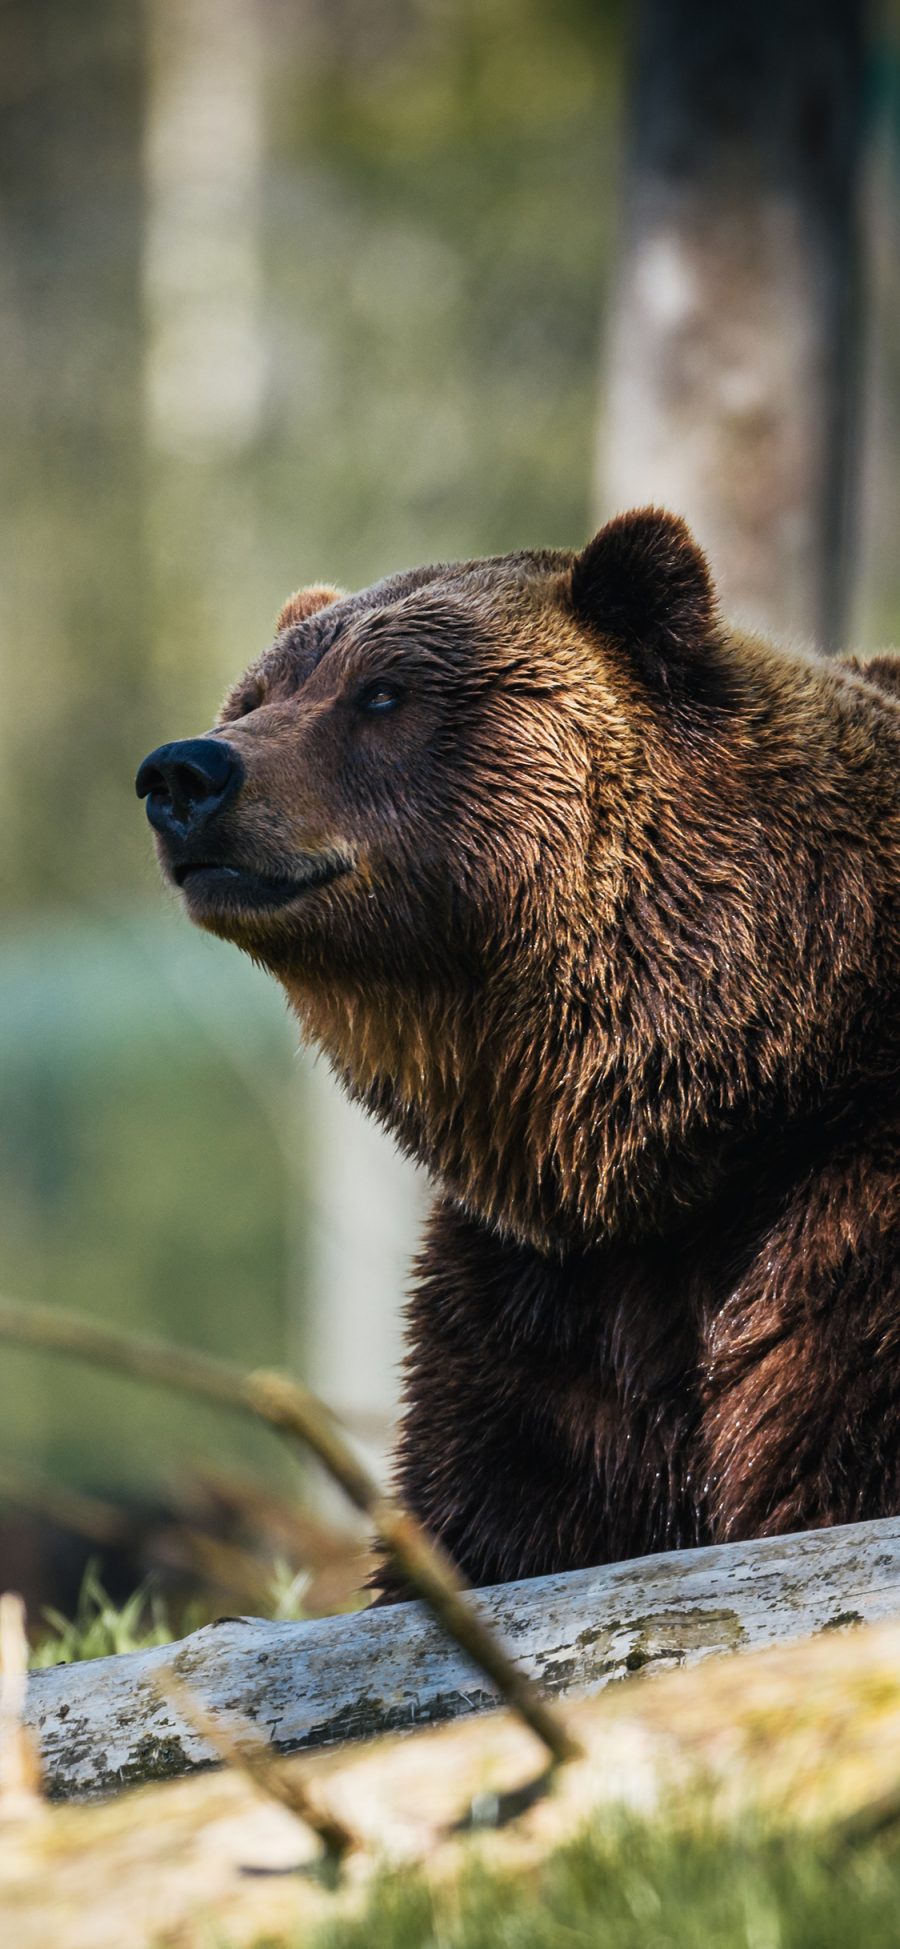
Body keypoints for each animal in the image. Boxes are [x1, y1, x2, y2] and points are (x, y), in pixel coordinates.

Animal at [135, 510, 900, 1590]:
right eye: (255, 695)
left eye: (382, 692)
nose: (185, 772)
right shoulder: (543, 1305)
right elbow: (496, 1509)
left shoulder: (845, 1229)